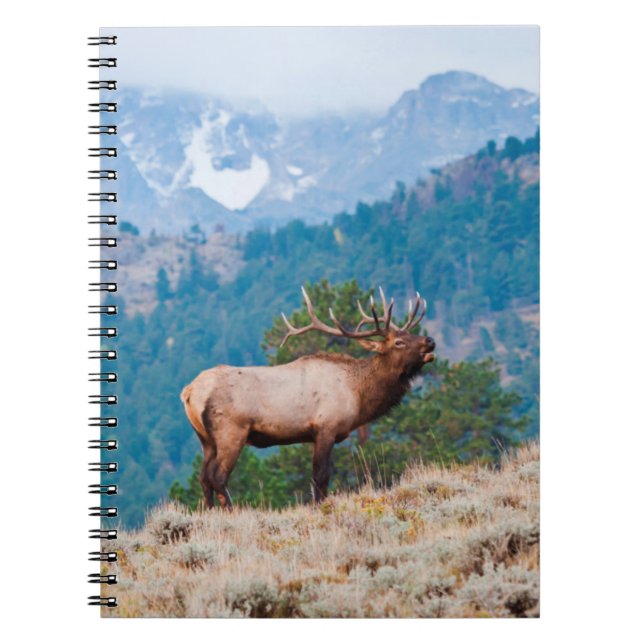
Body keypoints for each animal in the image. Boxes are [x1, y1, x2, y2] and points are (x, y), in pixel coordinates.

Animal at [180, 287, 436, 509]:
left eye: (409, 333)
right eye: (399, 342)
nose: (430, 341)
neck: (358, 394)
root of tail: (190, 391)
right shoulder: (326, 428)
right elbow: (321, 477)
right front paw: (320, 507)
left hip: (205, 439)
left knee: (203, 477)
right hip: (231, 431)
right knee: (218, 476)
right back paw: (231, 512)